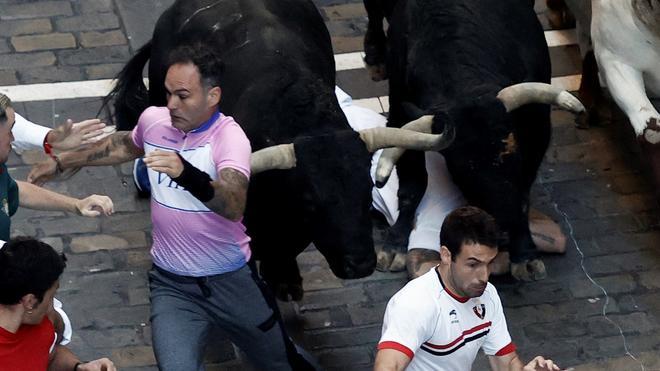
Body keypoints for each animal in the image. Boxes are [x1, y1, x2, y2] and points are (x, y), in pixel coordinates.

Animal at [376, 0, 584, 276]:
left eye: (514, 157)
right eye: (463, 171)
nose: (503, 232)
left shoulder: (537, 126)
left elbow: (523, 195)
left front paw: (525, 254)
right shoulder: (399, 115)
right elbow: (411, 187)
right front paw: (394, 245)